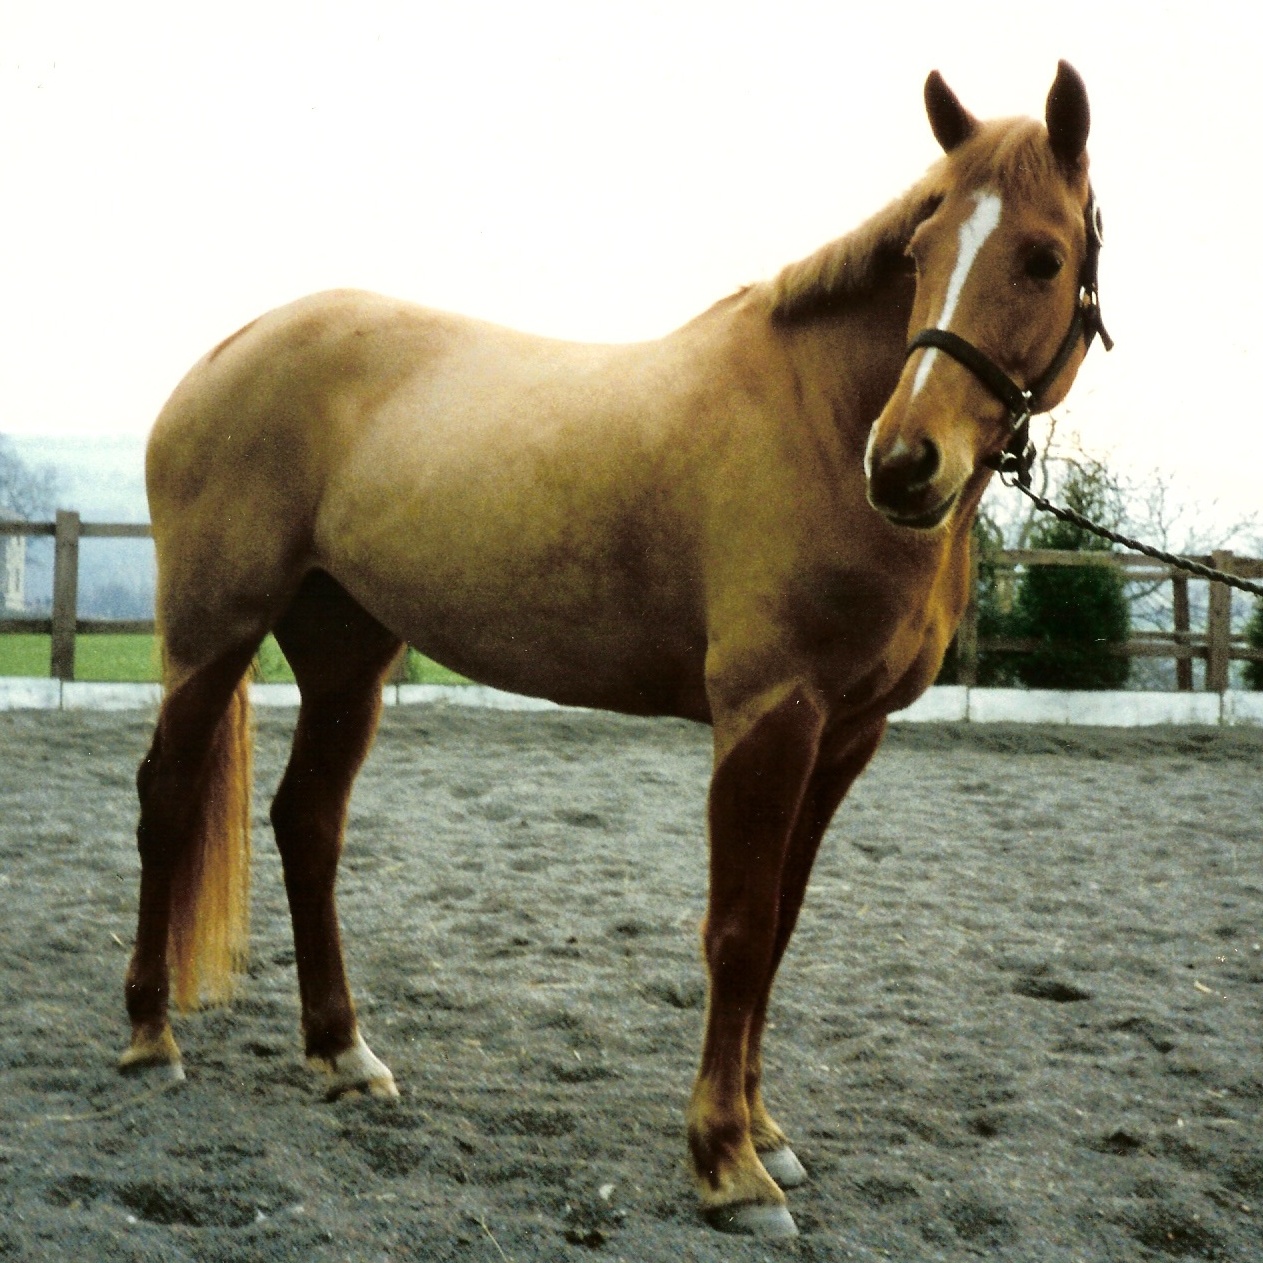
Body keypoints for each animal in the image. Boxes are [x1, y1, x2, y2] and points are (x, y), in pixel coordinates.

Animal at [119, 62, 1108, 1237]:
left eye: (1042, 256)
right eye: (920, 252)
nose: (906, 463)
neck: (820, 417)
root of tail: (229, 351)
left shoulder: (846, 734)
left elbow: (780, 928)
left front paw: (765, 1131)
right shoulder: (769, 716)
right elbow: (737, 930)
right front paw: (729, 1165)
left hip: (346, 658)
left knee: (306, 823)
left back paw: (344, 1056)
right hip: (213, 636)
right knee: (168, 801)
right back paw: (149, 1040)